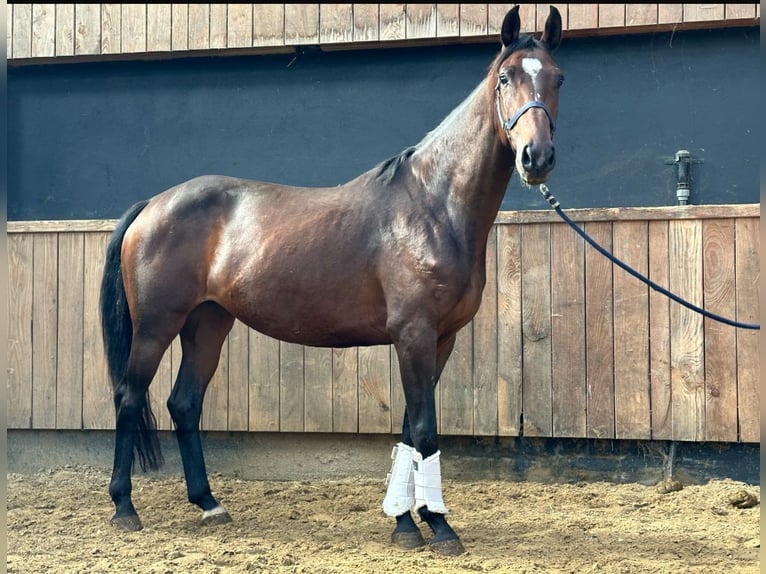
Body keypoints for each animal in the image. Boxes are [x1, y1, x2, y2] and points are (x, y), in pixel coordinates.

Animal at [100, 5, 564, 560]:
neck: (433, 206)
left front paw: (405, 522)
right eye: (505, 78)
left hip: (208, 323)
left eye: (558, 77)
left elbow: (410, 428)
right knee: (129, 396)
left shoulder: (440, 339)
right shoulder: (413, 334)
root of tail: (153, 203)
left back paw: (209, 504)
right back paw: (124, 508)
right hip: (156, 325)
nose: (536, 157)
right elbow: (424, 429)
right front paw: (439, 526)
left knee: (183, 403)